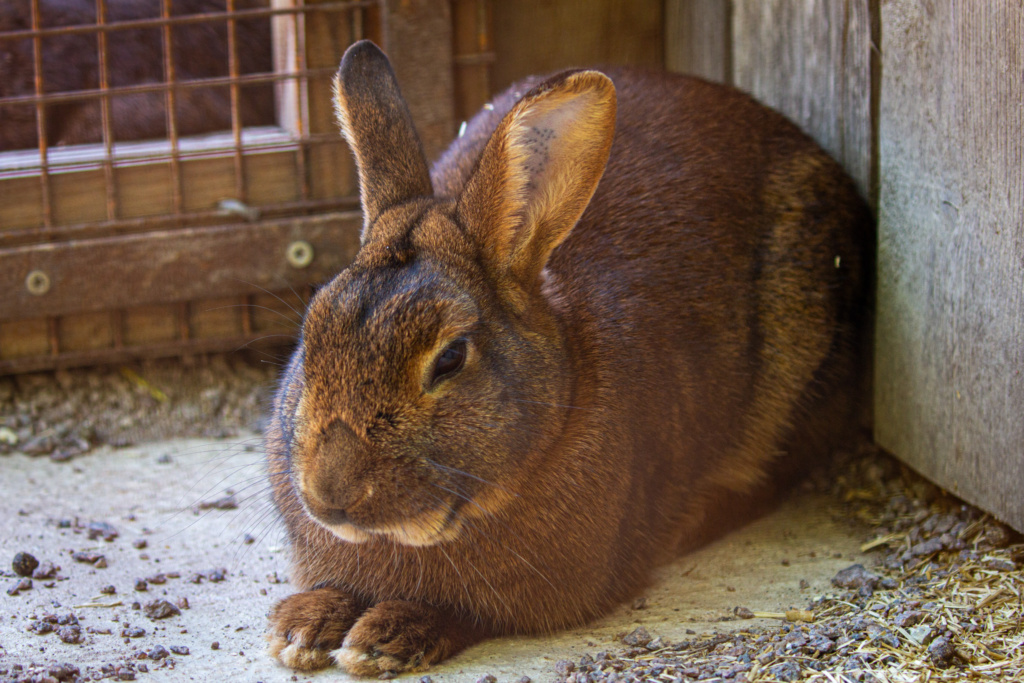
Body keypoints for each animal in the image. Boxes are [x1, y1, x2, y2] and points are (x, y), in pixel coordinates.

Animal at [264, 40, 873, 676]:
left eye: (451, 358)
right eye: (312, 330)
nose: (329, 494)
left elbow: (470, 612)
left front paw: (381, 638)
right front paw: (303, 627)